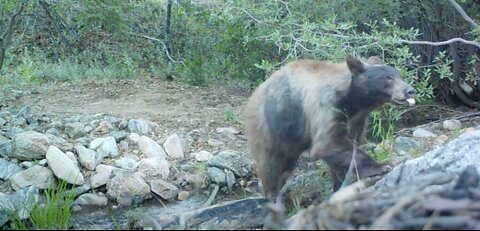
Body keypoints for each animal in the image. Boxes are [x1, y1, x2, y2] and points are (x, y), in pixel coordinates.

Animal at [244, 54, 416, 199]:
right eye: (387, 78)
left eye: (398, 75)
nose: (409, 90)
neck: (353, 100)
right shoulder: (328, 106)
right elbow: (329, 143)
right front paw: (381, 166)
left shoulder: (358, 119)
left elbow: (345, 147)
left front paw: (341, 182)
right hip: (270, 126)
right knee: (272, 164)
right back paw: (273, 195)